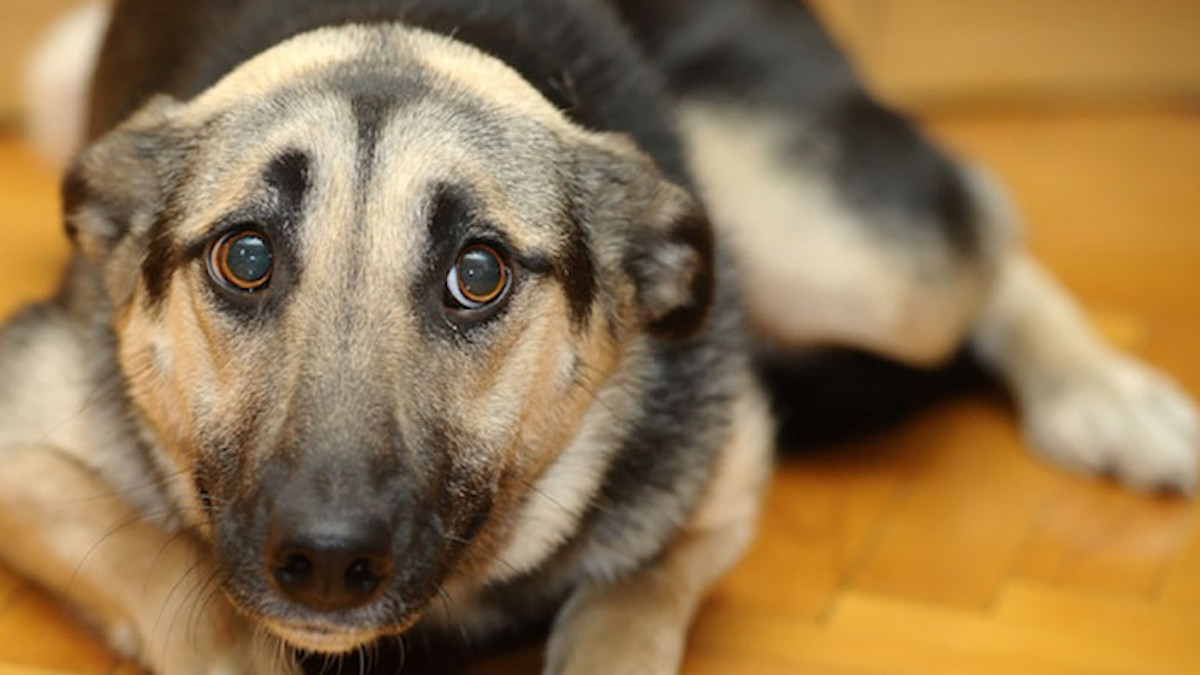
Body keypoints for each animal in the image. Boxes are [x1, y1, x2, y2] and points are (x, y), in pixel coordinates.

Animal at [4, 0, 1195, 667]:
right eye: (244, 257)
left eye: (477, 274)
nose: (327, 562)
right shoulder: (26, 452)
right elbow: (183, 588)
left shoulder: (723, 472)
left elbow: (633, 599)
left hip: (853, 254)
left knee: (982, 216)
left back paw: (1106, 393)